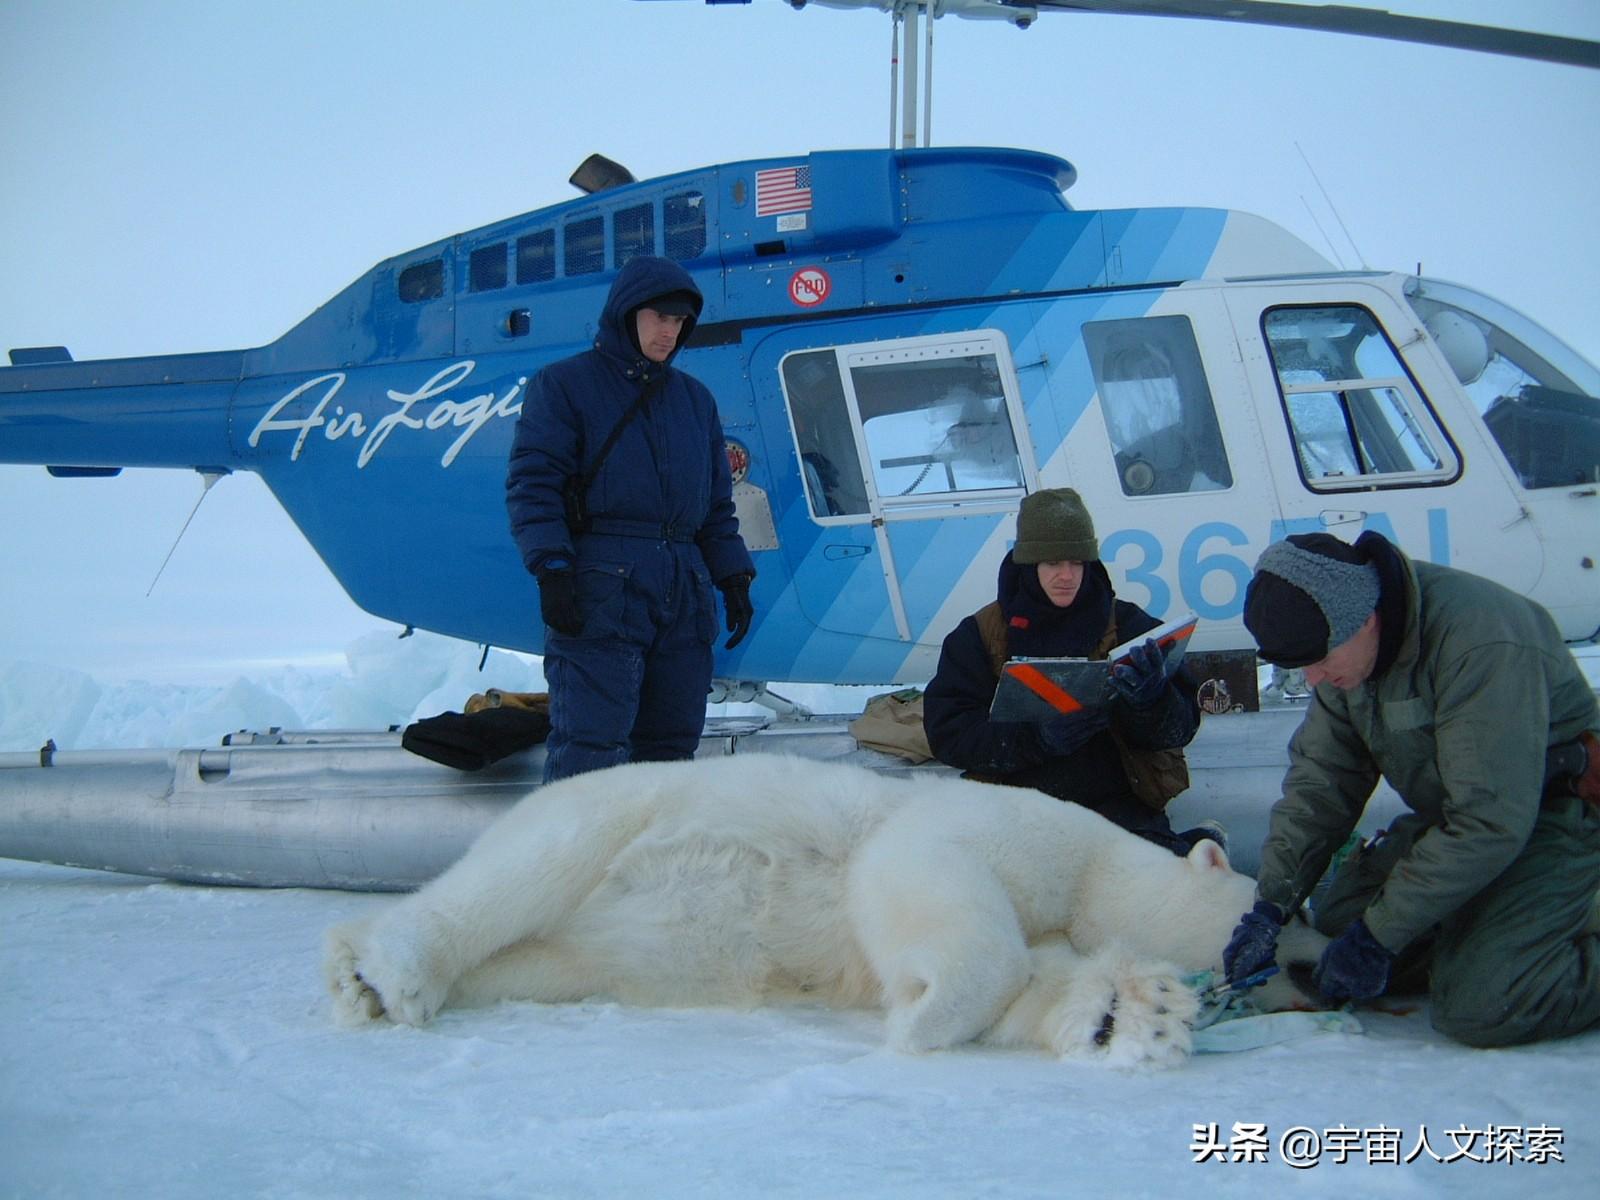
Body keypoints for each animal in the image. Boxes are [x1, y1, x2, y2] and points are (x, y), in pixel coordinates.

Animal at [324, 755, 1324, 1068]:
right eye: (1282, 910)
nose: (1322, 970)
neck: (1101, 876)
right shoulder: (1031, 828)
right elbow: (925, 874)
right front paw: (923, 1019)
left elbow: (1042, 985)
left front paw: (1136, 1014)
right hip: (614, 813)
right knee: (524, 871)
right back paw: (388, 969)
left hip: (586, 954)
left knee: (539, 958)